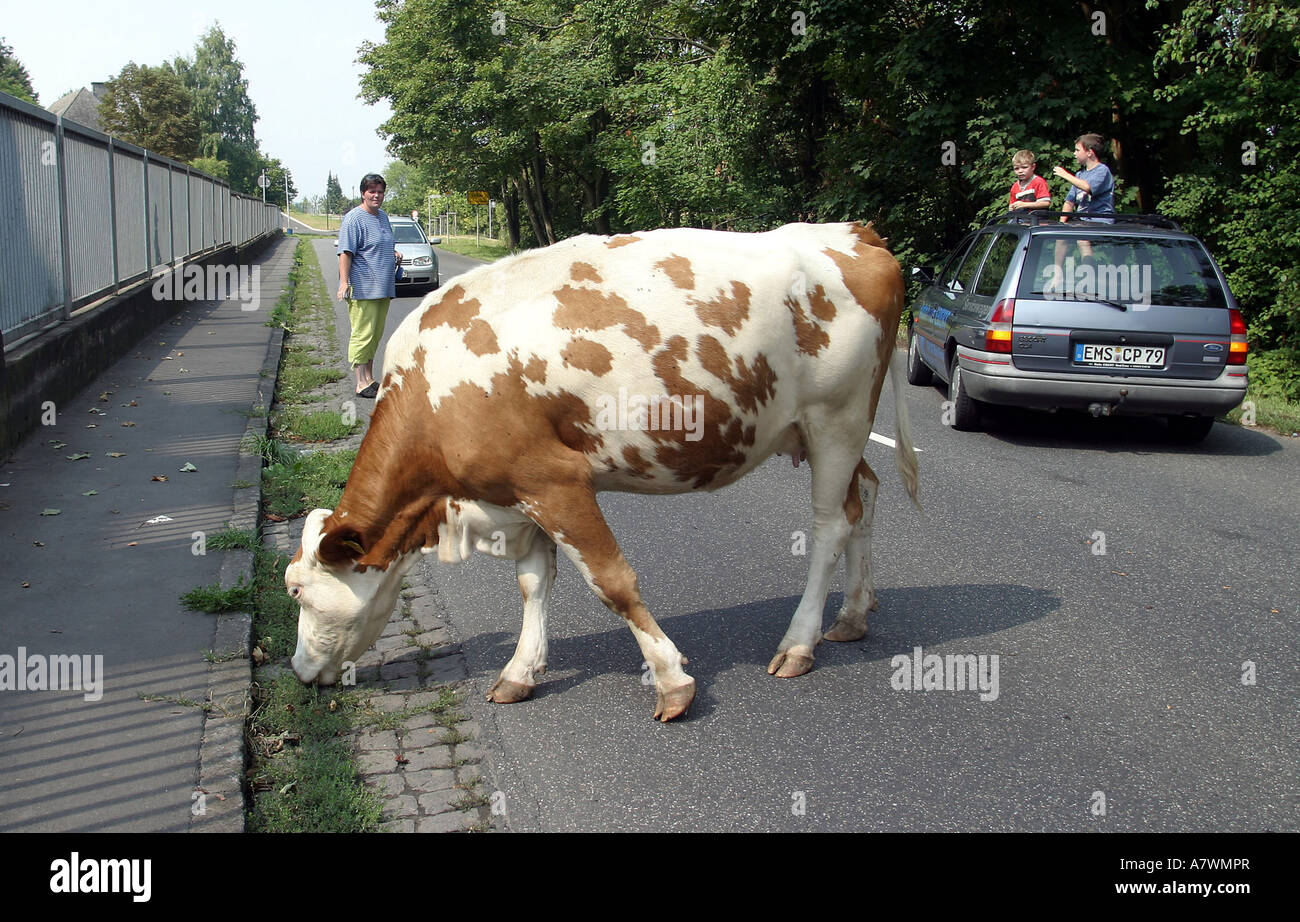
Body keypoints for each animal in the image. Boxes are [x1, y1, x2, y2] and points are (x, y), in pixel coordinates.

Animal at [287, 221, 915, 717]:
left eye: (297, 591)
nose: (298, 671)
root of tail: (855, 232)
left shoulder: (554, 479)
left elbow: (612, 582)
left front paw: (671, 680)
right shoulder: (516, 492)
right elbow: (533, 582)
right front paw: (520, 671)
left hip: (837, 419)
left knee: (830, 526)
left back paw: (800, 643)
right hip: (828, 432)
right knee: (864, 498)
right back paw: (853, 615)